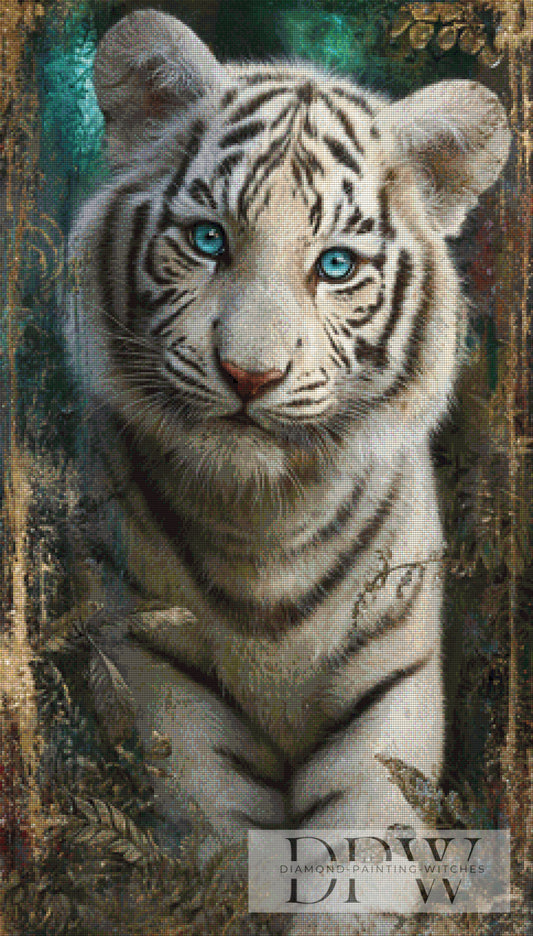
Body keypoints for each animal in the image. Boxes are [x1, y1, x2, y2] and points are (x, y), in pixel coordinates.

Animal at [65, 8, 510, 934]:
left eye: (335, 265)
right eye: (207, 240)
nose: (249, 374)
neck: (260, 520)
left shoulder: (389, 687)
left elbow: (361, 851)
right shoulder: (158, 671)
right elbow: (219, 833)